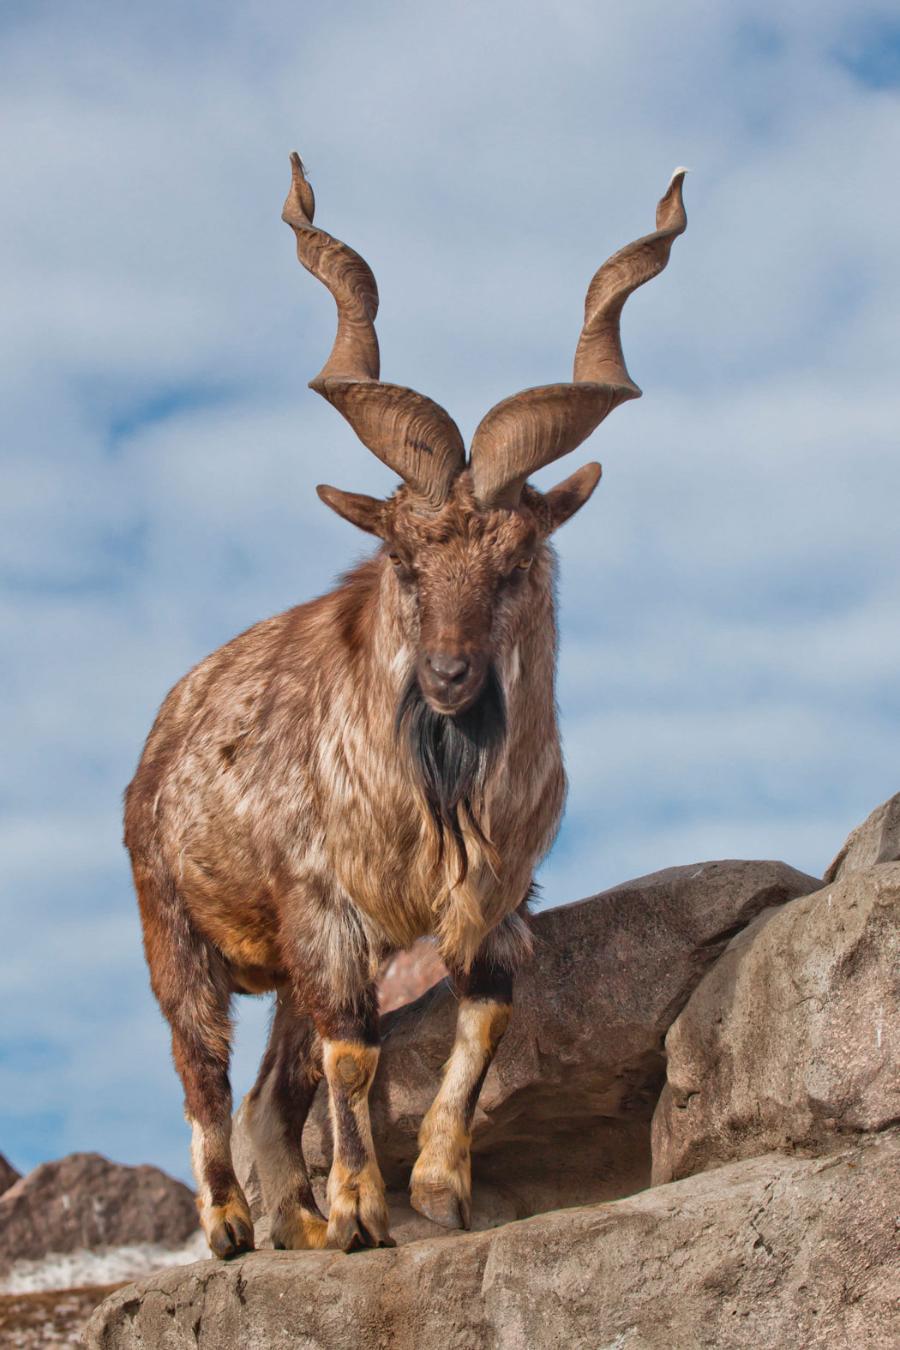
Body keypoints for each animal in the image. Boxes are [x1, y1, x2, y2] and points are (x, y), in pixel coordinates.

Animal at [123, 155, 685, 1252]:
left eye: (516, 562)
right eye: (406, 560)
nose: (450, 677)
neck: (434, 795)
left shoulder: (490, 901)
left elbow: (483, 1017)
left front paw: (437, 1189)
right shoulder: (324, 907)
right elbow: (352, 1054)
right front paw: (361, 1212)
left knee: (269, 1091)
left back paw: (294, 1223)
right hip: (174, 924)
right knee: (202, 1069)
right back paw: (232, 1225)